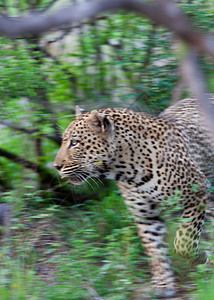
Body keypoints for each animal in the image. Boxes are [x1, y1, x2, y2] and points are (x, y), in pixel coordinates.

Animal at [54, 97, 213, 296]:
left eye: (74, 143)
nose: (56, 166)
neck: (127, 170)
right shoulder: (146, 216)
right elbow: (155, 249)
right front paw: (163, 284)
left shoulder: (197, 191)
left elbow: (184, 241)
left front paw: (200, 257)